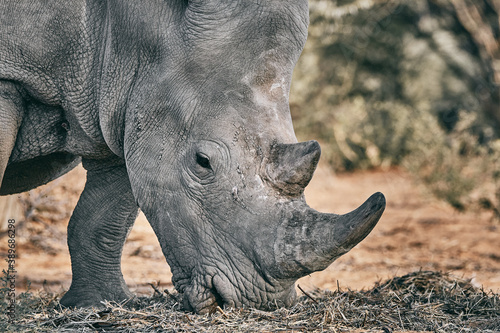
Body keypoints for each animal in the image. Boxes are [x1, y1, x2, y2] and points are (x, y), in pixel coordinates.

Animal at [0, 0, 386, 312]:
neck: (130, 26)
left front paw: (101, 305)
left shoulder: (122, 100)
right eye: (203, 162)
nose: (261, 300)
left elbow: (104, 217)